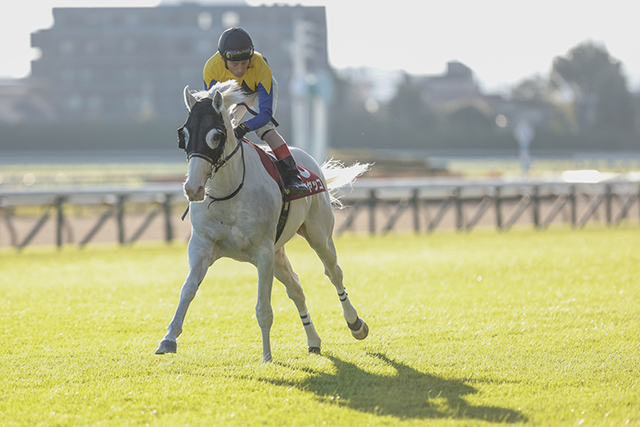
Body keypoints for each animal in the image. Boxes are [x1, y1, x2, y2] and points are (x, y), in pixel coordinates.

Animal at [156, 80, 372, 362]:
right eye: (184, 135)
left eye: (216, 136)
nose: (193, 189)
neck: (229, 192)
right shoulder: (202, 246)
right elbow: (187, 291)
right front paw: (168, 339)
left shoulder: (263, 251)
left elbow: (263, 307)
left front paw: (267, 357)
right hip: (278, 253)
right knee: (296, 288)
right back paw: (313, 341)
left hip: (318, 235)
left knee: (334, 272)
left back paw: (355, 323)